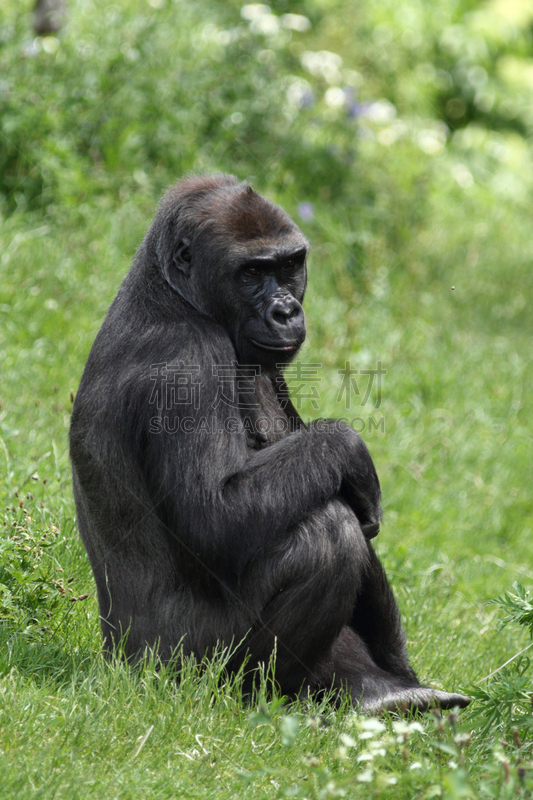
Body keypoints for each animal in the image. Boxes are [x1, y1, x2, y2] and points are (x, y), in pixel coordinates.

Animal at [68, 175, 468, 712]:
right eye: (252, 272)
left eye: (288, 266)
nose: (285, 310)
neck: (175, 293)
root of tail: (118, 658)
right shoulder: (188, 361)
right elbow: (217, 517)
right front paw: (348, 445)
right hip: (175, 668)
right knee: (329, 534)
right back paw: (261, 693)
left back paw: (383, 688)